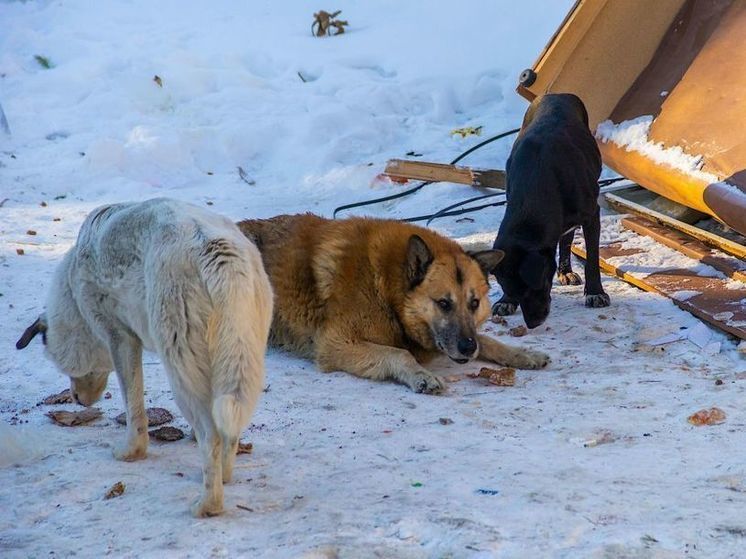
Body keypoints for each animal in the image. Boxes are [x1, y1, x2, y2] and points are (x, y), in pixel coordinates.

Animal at [16, 199, 274, 520]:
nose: (75, 398)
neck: (74, 294)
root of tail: (218, 253)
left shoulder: (120, 338)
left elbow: (133, 405)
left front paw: (131, 452)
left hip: (179, 367)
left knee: (211, 435)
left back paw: (207, 505)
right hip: (241, 358)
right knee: (228, 428)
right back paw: (224, 476)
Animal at [238, 214, 548, 394]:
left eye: (474, 303)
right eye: (443, 303)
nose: (467, 349)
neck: (385, 289)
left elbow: (489, 341)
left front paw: (522, 354)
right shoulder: (336, 344)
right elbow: (400, 354)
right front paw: (421, 374)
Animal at [492, 91, 608, 328]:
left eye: (536, 287)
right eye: (513, 291)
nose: (533, 324)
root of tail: (557, 94)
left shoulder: (592, 214)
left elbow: (592, 258)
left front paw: (595, 292)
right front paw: (505, 301)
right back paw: (565, 271)